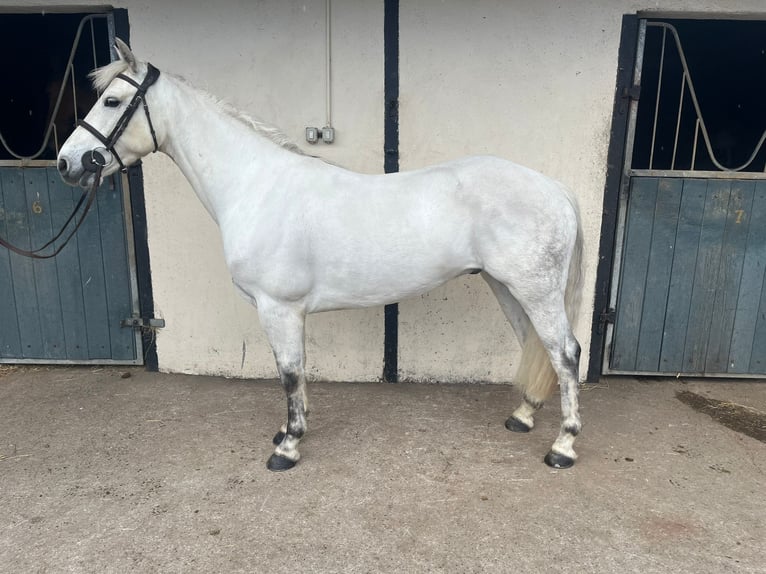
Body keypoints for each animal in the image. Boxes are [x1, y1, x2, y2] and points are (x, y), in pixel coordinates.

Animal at [57, 39, 584, 472]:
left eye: (111, 100)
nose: (67, 163)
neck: (255, 185)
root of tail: (554, 188)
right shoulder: (280, 312)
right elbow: (290, 372)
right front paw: (287, 432)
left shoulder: (279, 307)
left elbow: (290, 374)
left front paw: (288, 448)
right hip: (507, 287)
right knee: (534, 345)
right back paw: (522, 417)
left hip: (535, 290)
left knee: (565, 353)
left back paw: (563, 446)